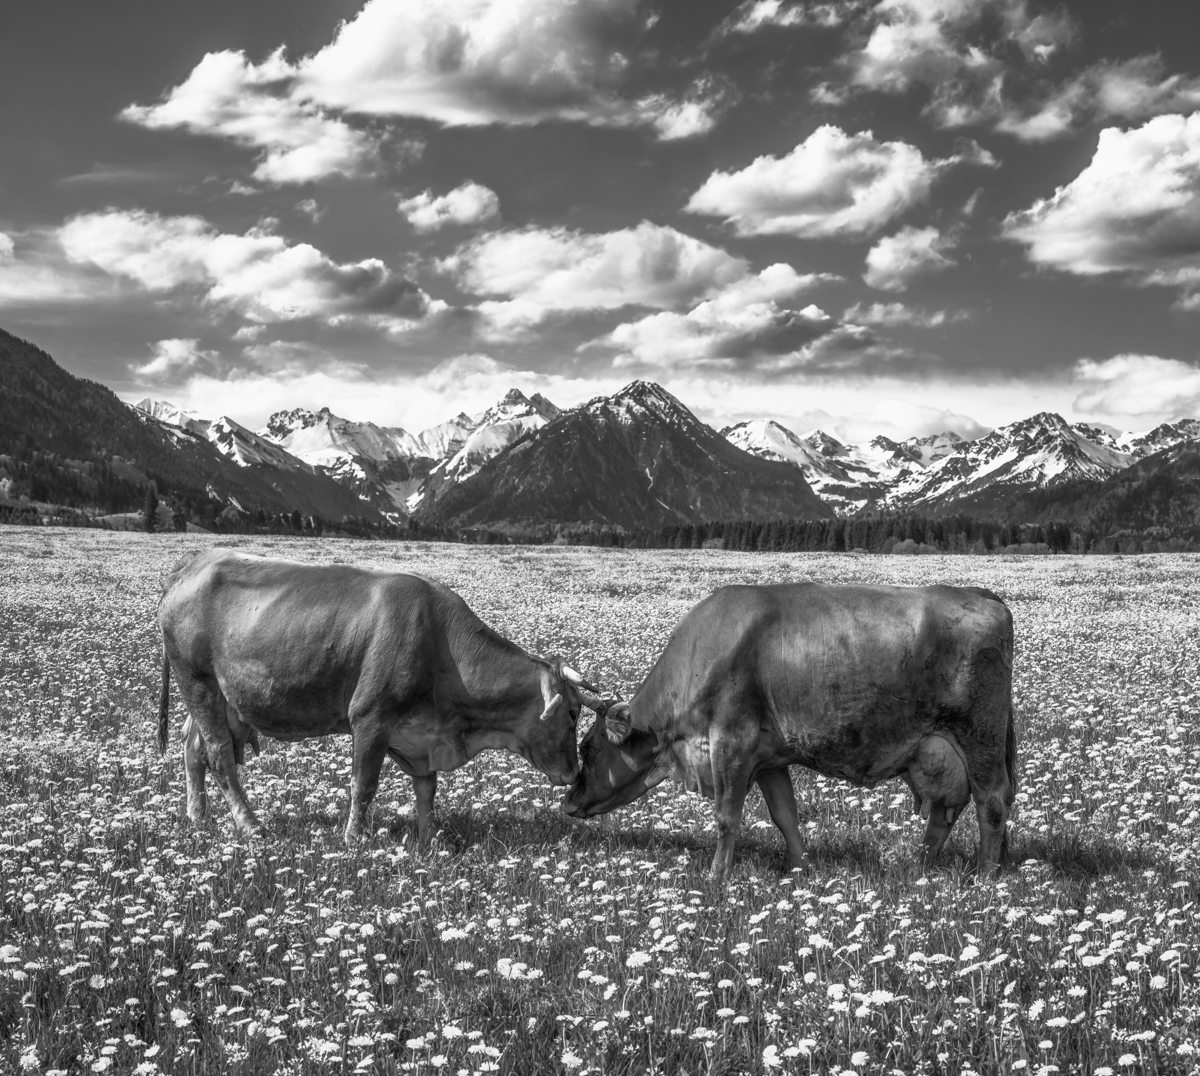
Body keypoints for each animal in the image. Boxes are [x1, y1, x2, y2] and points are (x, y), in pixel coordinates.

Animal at [157, 549, 595, 842]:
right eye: (573, 713)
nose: (575, 774)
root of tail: (196, 561)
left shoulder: (421, 734)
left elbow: (427, 789)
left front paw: (429, 838)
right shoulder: (371, 717)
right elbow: (364, 784)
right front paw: (354, 839)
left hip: (222, 697)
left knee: (193, 748)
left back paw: (198, 818)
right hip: (197, 681)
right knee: (218, 754)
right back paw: (250, 826)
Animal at [563, 583, 1016, 881]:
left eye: (586, 748)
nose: (568, 802)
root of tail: (981, 594)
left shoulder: (731, 743)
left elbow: (727, 816)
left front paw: (716, 878)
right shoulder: (768, 759)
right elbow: (785, 816)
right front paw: (801, 869)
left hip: (980, 738)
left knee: (992, 801)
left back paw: (985, 876)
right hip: (938, 751)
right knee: (946, 810)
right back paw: (920, 868)